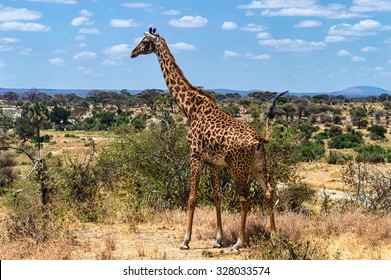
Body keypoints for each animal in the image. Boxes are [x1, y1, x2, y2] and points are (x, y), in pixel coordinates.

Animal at [132, 28, 282, 250]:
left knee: (244, 198)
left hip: (238, 167)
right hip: (258, 165)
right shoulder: (214, 163)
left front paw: (186, 240)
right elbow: (216, 197)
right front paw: (218, 240)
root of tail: (258, 140)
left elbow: (192, 197)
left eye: (144, 41)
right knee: (269, 192)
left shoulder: (195, 156)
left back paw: (239, 242)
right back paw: (274, 237)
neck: (190, 109)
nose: (132, 53)